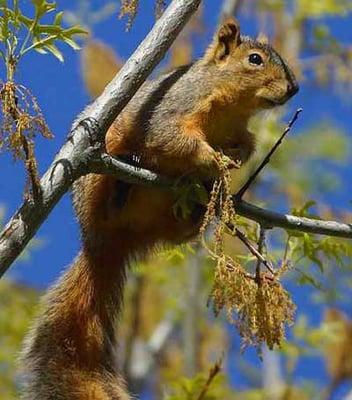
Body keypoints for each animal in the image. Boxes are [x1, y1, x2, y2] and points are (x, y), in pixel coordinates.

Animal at [20, 18, 298, 400]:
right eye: (254, 59)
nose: (294, 88)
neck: (232, 106)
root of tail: (104, 242)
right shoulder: (172, 107)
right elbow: (172, 138)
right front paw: (212, 159)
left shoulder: (242, 132)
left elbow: (247, 147)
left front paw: (230, 163)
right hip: (97, 170)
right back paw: (122, 181)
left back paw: (198, 205)